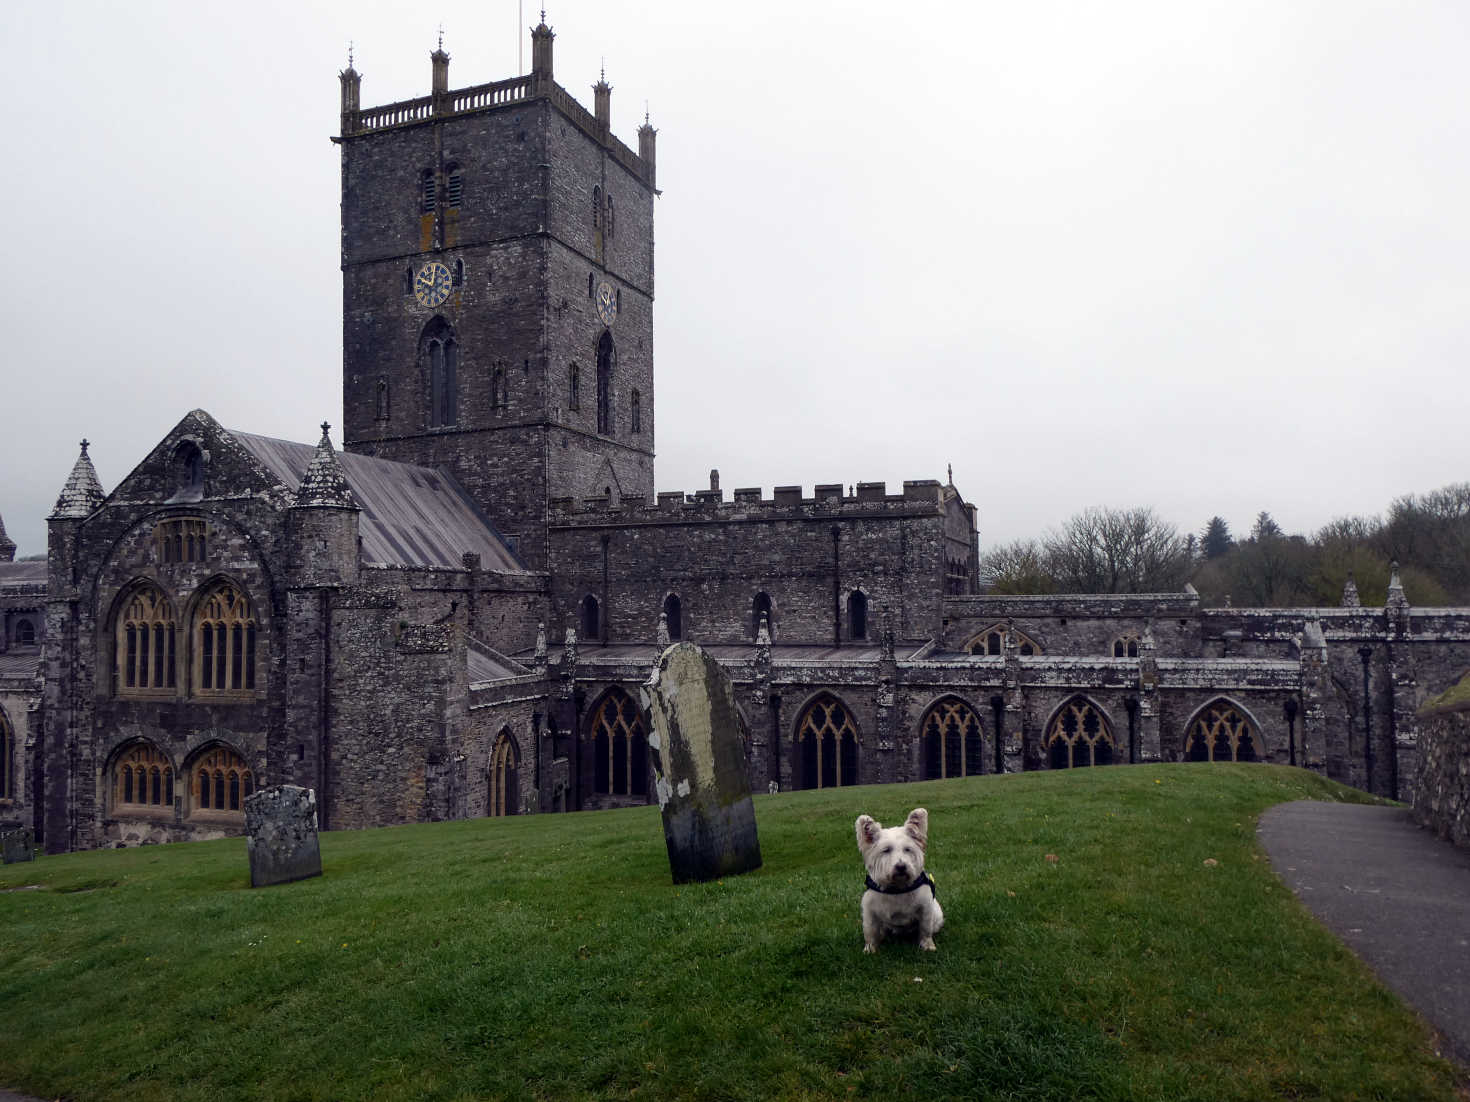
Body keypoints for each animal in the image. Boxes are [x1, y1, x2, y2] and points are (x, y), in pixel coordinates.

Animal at [858, 805, 946, 952]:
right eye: (886, 850)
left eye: (907, 849)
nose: (901, 867)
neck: (897, 888)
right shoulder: (869, 912)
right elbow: (870, 932)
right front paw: (870, 949)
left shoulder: (926, 909)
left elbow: (925, 929)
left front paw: (928, 946)